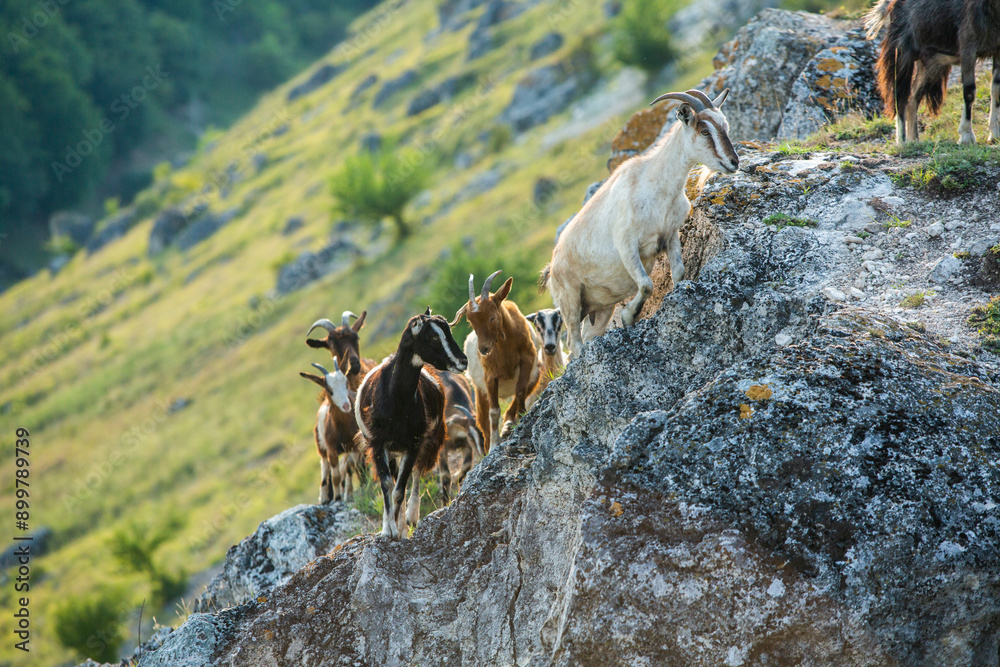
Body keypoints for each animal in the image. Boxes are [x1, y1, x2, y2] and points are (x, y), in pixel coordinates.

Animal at [299, 360, 358, 504]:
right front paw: (337, 498)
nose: (346, 406)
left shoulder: (352, 446)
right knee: (325, 468)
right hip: (321, 447)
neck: (340, 428)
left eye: (346, 383)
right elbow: (335, 476)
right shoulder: (331, 449)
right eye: (330, 389)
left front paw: (348, 494)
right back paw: (324, 498)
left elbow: (348, 469)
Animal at [354, 308, 467, 539]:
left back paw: (409, 518)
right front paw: (387, 529)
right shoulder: (378, 444)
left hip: (429, 441)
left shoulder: (413, 443)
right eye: (433, 337)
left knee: (415, 474)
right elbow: (388, 484)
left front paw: (399, 530)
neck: (396, 400)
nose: (463, 361)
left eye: (448, 331)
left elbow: (400, 488)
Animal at [451, 271, 539, 453]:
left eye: (492, 317)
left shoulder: (527, 361)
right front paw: (493, 446)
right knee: (483, 422)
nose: (483, 349)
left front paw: (522, 416)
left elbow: (520, 392)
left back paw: (508, 426)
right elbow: (493, 411)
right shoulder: (490, 376)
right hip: (479, 391)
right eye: (471, 321)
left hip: (536, 375)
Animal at [539, 89, 737, 355]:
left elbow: (679, 272)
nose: (734, 162)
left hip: (599, 309)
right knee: (575, 343)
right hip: (570, 301)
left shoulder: (670, 235)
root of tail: (551, 267)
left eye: (725, 125)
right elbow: (646, 285)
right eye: (704, 130)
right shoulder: (627, 245)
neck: (653, 186)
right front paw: (628, 317)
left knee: (588, 336)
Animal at [866, 0, 1000, 145]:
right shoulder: (968, 49)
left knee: (912, 101)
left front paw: (994, 135)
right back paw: (902, 142)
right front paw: (966, 136)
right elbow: (969, 93)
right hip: (902, 54)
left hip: (930, 66)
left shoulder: (997, 52)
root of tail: (890, 6)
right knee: (900, 98)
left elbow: (996, 90)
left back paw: (915, 140)